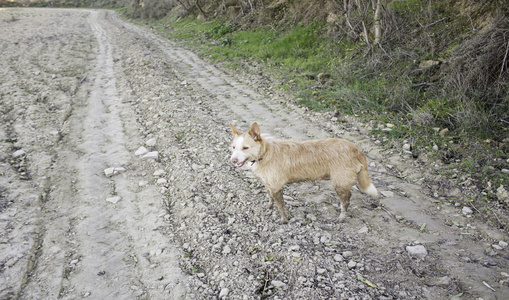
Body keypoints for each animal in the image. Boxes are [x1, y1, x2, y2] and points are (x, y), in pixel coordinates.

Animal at [228, 121, 376, 223]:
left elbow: (281, 206)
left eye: (245, 148)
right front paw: (269, 206)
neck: (265, 153)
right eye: (234, 147)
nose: (233, 160)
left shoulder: (277, 187)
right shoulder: (268, 184)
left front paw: (284, 220)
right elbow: (270, 197)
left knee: (346, 202)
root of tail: (356, 148)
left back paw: (341, 217)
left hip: (339, 183)